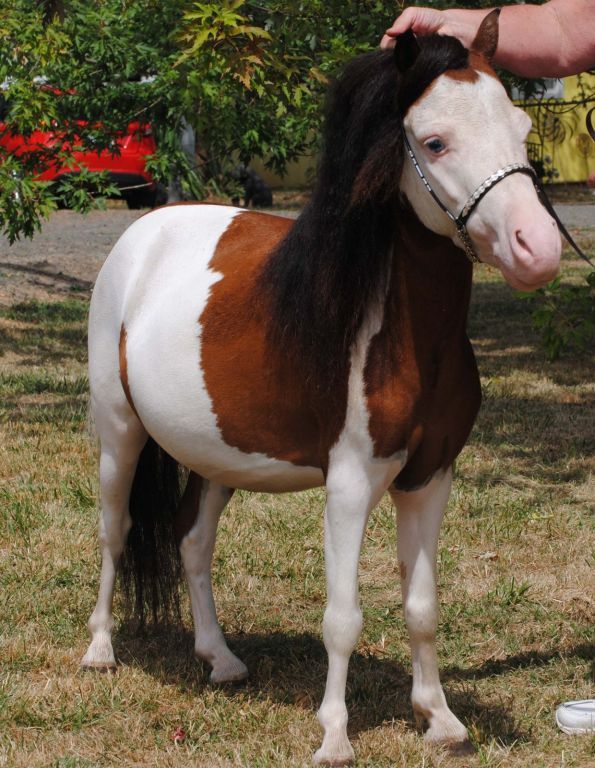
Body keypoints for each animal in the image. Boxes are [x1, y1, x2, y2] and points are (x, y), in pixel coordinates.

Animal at [81, 11, 561, 765]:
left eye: (519, 126)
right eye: (434, 141)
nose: (537, 247)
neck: (398, 333)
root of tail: (145, 231)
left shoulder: (429, 477)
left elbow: (421, 606)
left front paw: (439, 719)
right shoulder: (350, 482)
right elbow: (342, 616)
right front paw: (334, 734)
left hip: (214, 455)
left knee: (191, 542)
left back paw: (220, 660)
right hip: (119, 435)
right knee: (115, 528)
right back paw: (100, 649)